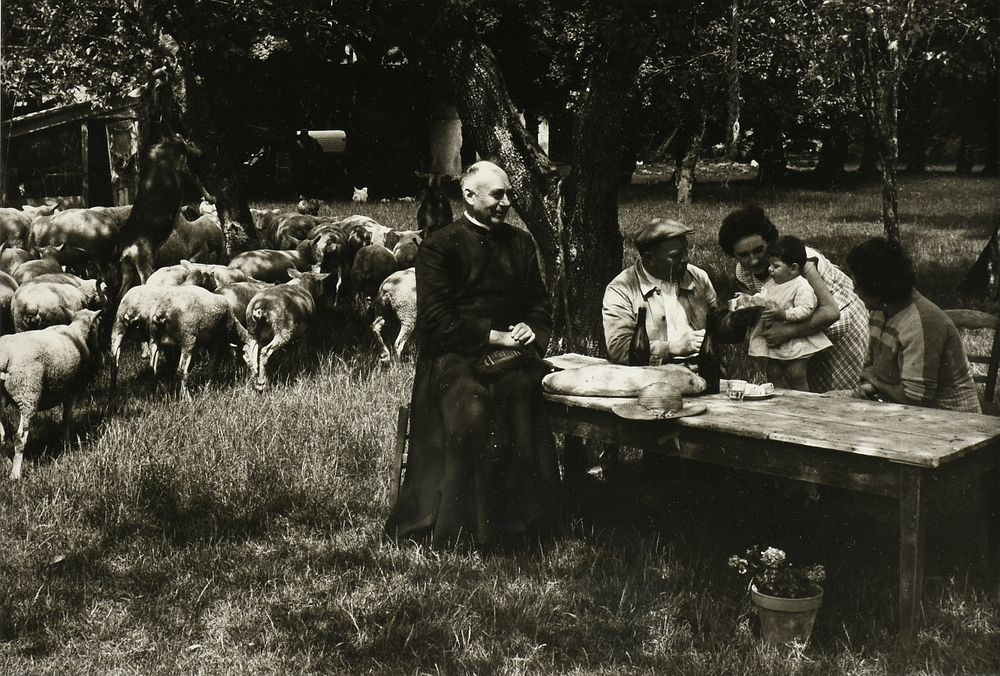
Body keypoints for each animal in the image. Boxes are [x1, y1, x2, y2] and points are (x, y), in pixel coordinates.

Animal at [0, 308, 102, 478]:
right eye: (97, 326)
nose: (98, 346)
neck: (77, 333)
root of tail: (4, 355)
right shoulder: (71, 391)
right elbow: (66, 419)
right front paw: (67, 446)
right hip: (28, 392)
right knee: (20, 437)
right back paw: (15, 473)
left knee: (0, 435)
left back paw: (7, 463)